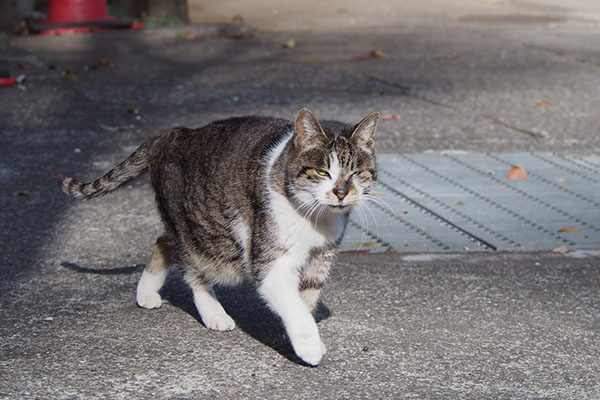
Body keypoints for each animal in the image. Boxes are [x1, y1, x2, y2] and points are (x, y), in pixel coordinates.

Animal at [58, 108, 382, 366]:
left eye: (356, 173)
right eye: (322, 171)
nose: (341, 192)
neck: (315, 217)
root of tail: (171, 134)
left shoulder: (321, 256)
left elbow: (307, 299)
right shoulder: (270, 262)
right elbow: (294, 306)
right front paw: (309, 347)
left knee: (163, 241)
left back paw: (147, 292)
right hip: (204, 235)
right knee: (191, 267)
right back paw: (212, 312)